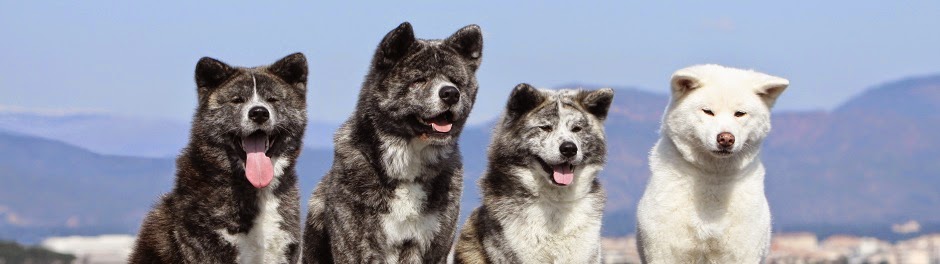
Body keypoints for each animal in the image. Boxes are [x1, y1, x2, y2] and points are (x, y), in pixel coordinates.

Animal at [304, 21, 484, 262]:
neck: (407, 169)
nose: (451, 93)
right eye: (420, 80)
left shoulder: (435, 248)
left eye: (455, 81)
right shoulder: (356, 247)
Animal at [636, 64, 788, 264]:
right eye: (707, 111)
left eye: (740, 114)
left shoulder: (743, 251)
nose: (726, 138)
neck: (713, 177)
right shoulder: (665, 250)